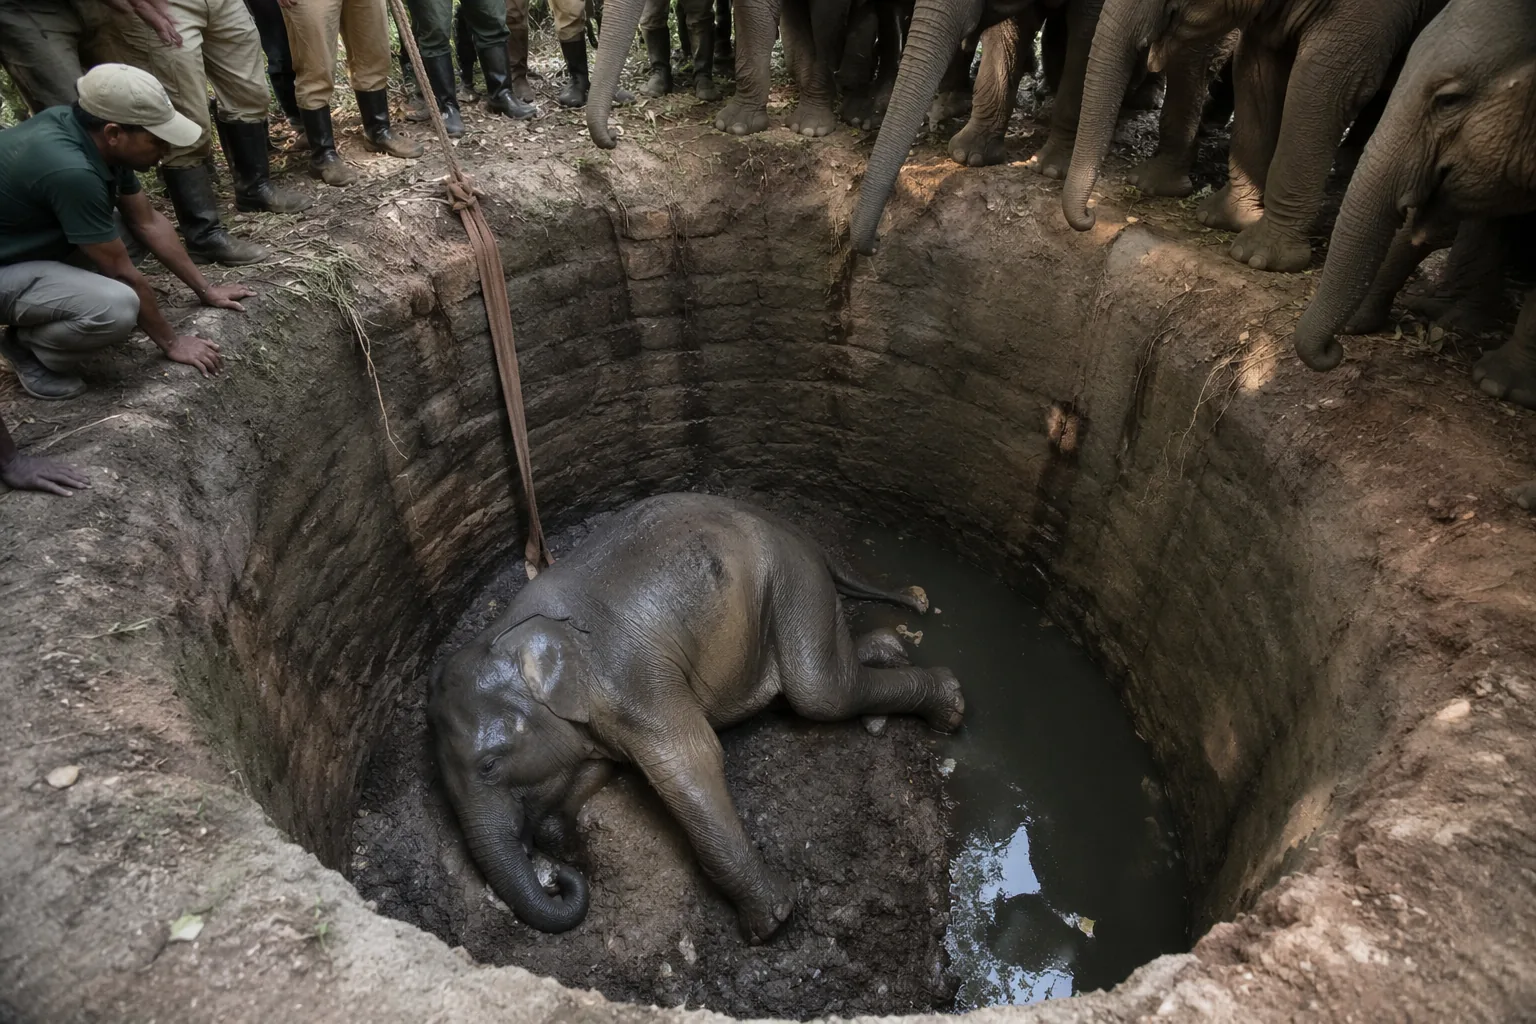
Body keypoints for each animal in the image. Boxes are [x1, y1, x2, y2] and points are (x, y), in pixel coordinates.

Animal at [429, 493, 967, 942]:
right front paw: (567, 838)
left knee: (820, 692)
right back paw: (890, 650)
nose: (559, 882)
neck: (507, 634)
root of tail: (801, 533)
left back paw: (950, 705)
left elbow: (687, 764)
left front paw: (770, 922)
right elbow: (597, 766)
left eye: (489, 765)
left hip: (792, 579)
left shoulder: (630, 674)